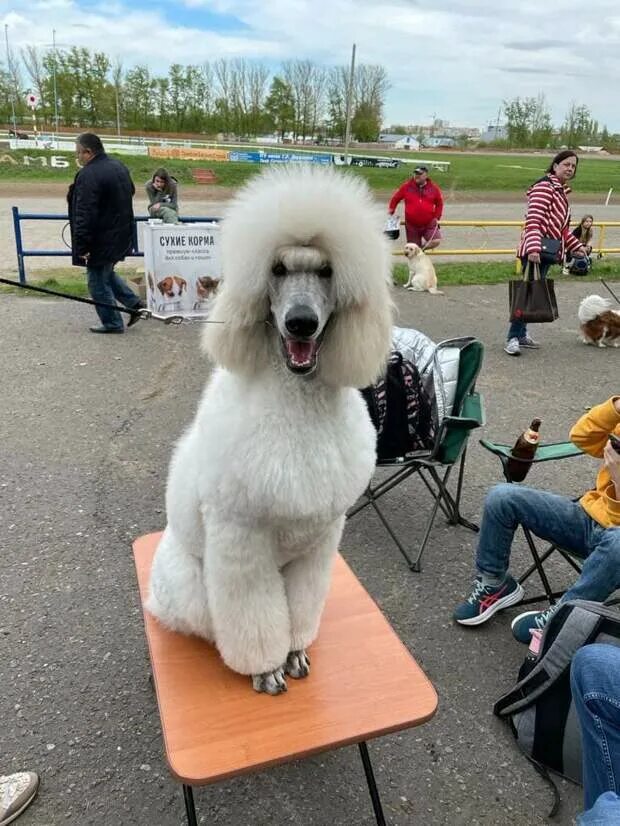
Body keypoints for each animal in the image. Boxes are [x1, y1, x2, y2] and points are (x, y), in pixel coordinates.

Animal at [147, 164, 392, 692]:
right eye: (277, 270)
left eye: (326, 271)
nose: (301, 323)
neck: (295, 402)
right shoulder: (241, 537)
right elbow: (252, 617)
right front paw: (265, 669)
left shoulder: (320, 540)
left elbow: (300, 607)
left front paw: (295, 650)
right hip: (189, 586)